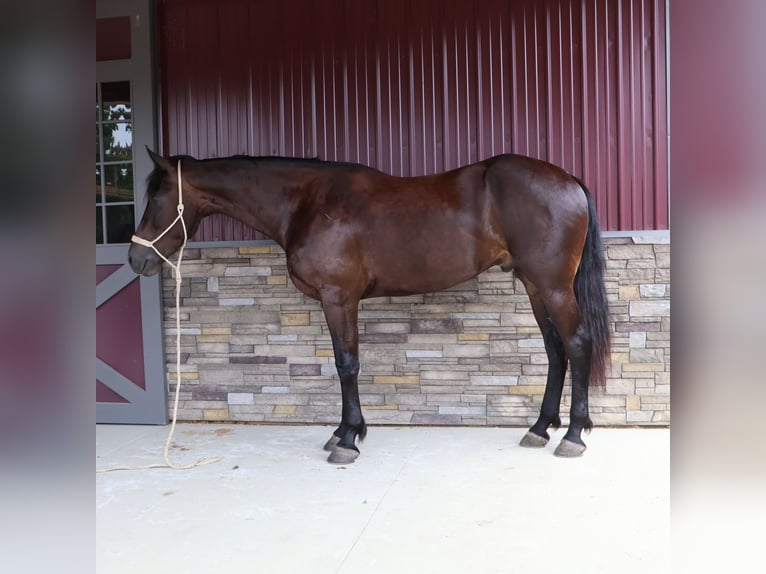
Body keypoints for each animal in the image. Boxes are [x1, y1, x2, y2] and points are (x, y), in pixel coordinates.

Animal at [128, 148, 611, 464]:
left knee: (577, 344)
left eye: (157, 199)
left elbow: (347, 364)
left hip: (553, 286)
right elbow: (344, 364)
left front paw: (347, 440)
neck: (307, 202)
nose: (136, 259)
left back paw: (573, 435)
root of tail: (569, 181)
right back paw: (539, 429)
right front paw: (342, 432)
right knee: (554, 351)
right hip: (533, 285)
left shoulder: (338, 297)